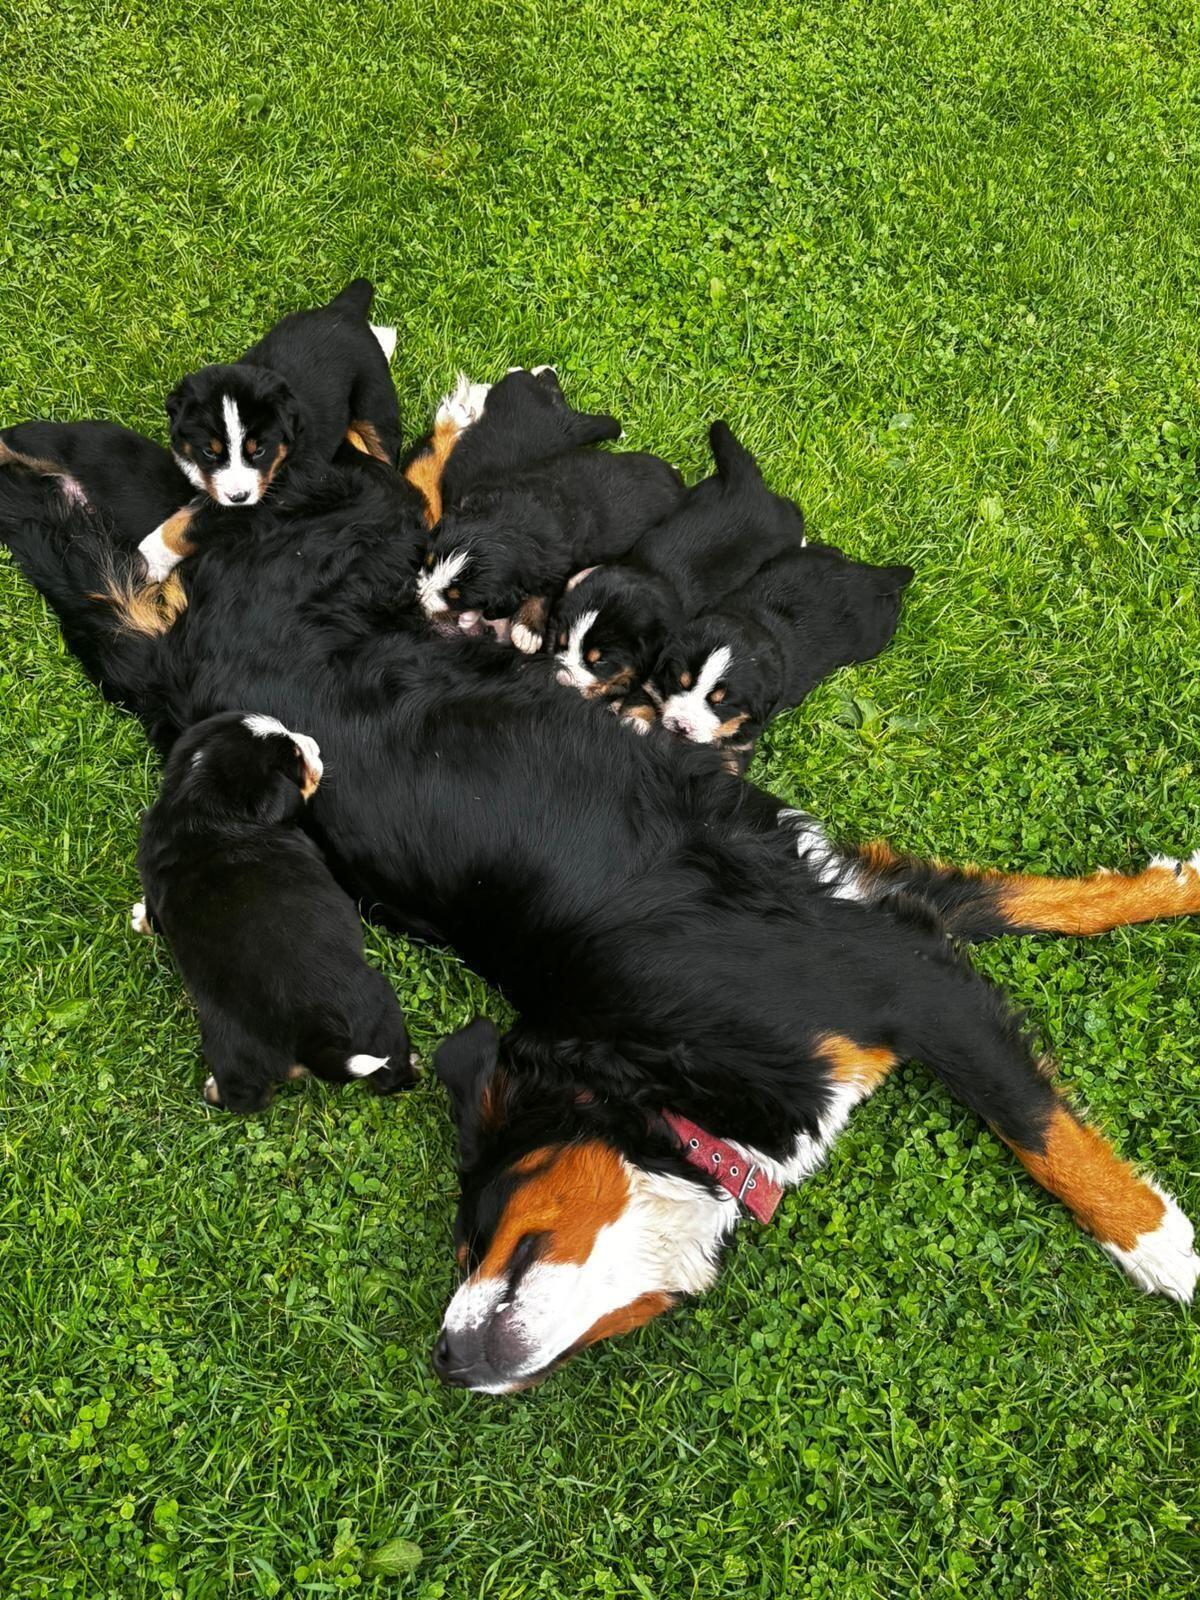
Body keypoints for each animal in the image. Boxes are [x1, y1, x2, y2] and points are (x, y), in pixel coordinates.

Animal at [133, 710, 416, 1111]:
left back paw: (214, 1090)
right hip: (375, 1007)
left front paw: (140, 919)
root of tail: (308, 1035)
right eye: (295, 759)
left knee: (247, 1095)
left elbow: (156, 915)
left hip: (238, 1044)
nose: (314, 744)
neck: (197, 804)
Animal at [139, 279, 399, 580]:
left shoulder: (272, 492)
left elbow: (193, 523)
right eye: (209, 452)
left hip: (375, 404)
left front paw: (151, 558)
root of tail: (343, 310)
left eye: (260, 450)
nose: (238, 497)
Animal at [416, 447, 685, 649]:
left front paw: (528, 630)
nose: (418, 597)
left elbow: (543, 595)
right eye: (428, 562)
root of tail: (675, 479)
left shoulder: (557, 565)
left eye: (455, 596)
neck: (514, 525)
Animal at [550, 421, 804, 703]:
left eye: (600, 662)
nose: (561, 680)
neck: (649, 575)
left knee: (793, 510)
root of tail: (745, 485)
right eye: (562, 641)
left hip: (783, 526)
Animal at [641, 543, 914, 763]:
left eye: (722, 703)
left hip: (874, 636)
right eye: (679, 682)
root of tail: (867, 576)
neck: (751, 622)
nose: (681, 726)